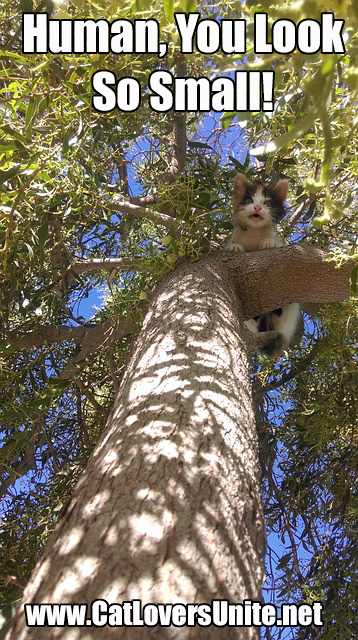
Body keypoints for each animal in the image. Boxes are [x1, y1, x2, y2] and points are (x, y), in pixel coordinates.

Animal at [227, 172, 302, 358]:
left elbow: (275, 243)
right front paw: (234, 247)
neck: (254, 232)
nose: (257, 208)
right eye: (249, 201)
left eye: (267, 203)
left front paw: (268, 243)